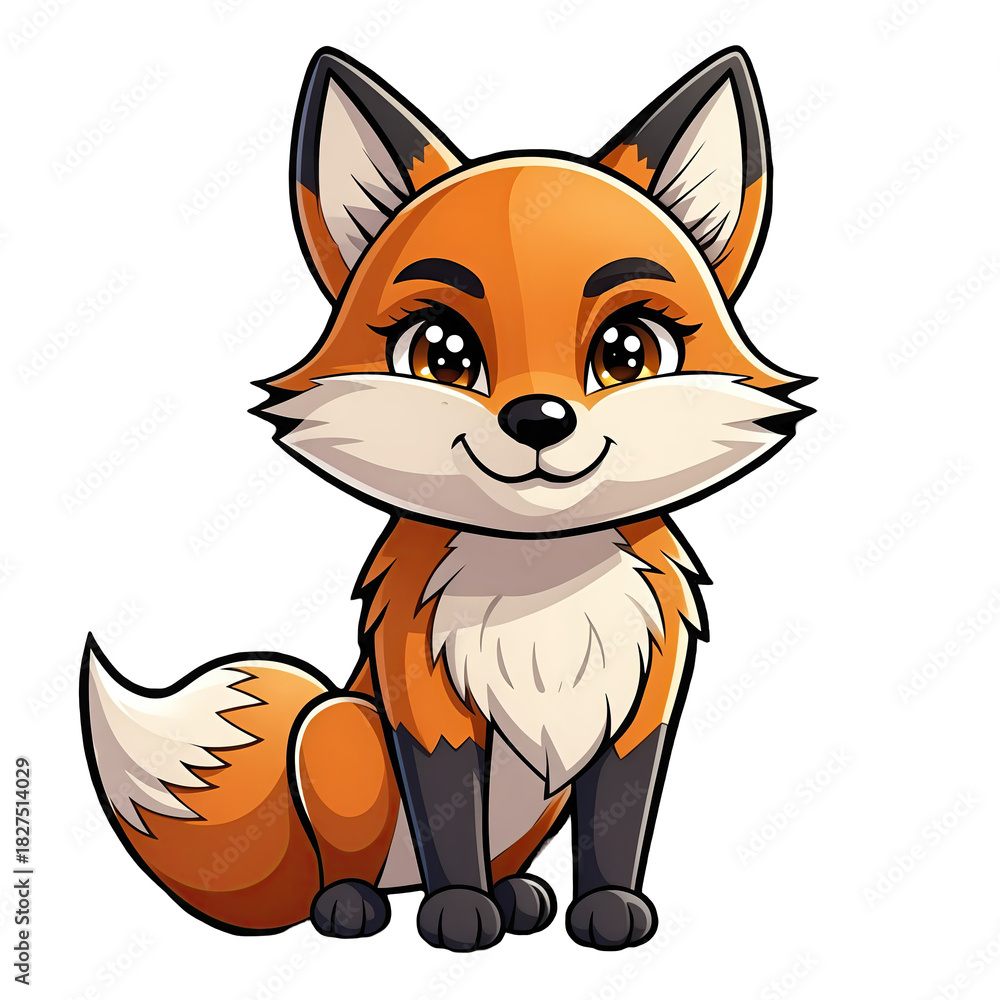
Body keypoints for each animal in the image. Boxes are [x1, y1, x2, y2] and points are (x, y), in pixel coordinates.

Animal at [80, 45, 810, 952]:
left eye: (628, 350)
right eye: (442, 352)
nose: (539, 420)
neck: (540, 580)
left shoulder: (639, 711)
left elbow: (616, 825)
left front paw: (607, 909)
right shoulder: (424, 705)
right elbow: (451, 818)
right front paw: (459, 914)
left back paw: (521, 897)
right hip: (338, 729)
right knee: (357, 864)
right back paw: (357, 905)